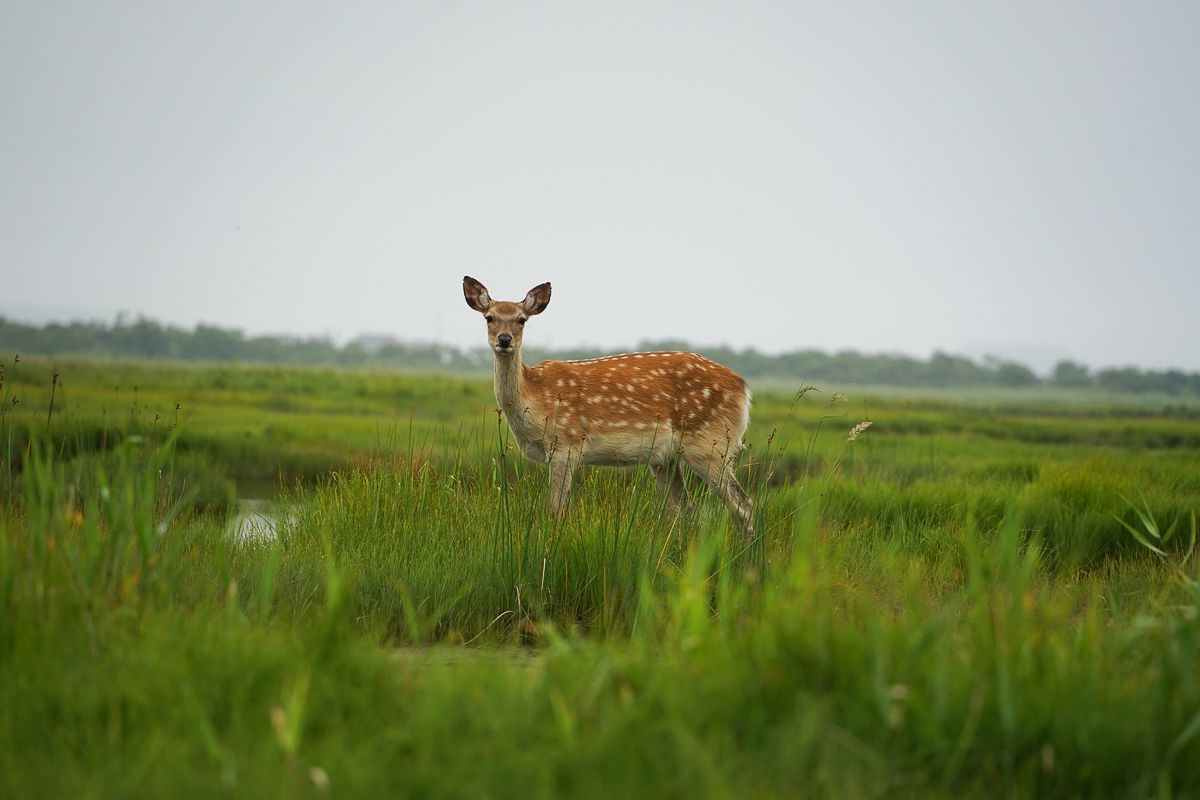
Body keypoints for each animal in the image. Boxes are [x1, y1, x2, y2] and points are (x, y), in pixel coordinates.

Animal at [463, 276, 755, 537]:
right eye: (489, 317)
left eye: (522, 319)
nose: (504, 339)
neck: (533, 398)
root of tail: (744, 388)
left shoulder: (567, 442)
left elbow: (555, 509)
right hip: (667, 458)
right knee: (683, 508)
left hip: (710, 443)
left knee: (743, 505)